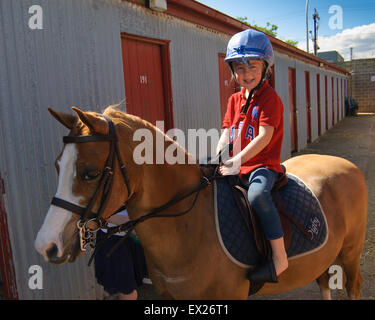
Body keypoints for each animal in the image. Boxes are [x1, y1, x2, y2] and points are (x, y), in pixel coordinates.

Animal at [33, 106, 368, 298]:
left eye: (89, 173)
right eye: (58, 165)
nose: (46, 245)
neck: (190, 228)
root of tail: (345, 164)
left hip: (351, 254)